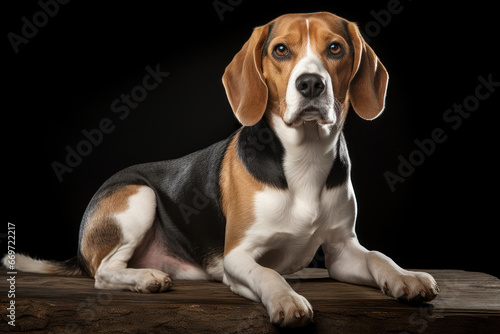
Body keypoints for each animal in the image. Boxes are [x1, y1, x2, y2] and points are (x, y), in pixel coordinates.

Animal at [7, 11, 438, 328]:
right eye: (281, 50)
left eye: (335, 48)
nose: (311, 84)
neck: (305, 158)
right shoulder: (238, 256)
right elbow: (270, 275)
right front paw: (286, 299)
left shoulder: (341, 251)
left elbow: (378, 256)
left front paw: (407, 277)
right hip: (138, 196)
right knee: (103, 272)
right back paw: (145, 279)